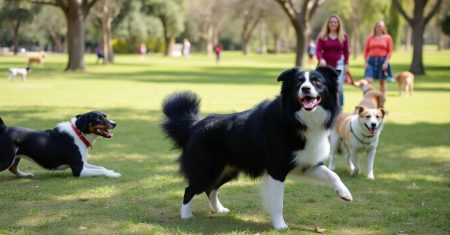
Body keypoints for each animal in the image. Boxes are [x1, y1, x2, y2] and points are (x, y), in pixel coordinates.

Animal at [161, 66, 352, 229]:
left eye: (317, 81)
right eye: (298, 82)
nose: (305, 89)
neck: (299, 119)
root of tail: (195, 125)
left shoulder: (305, 164)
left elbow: (332, 174)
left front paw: (345, 193)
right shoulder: (276, 169)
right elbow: (277, 202)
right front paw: (280, 226)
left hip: (228, 169)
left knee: (211, 189)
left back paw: (219, 209)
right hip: (206, 169)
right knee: (190, 189)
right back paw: (186, 215)